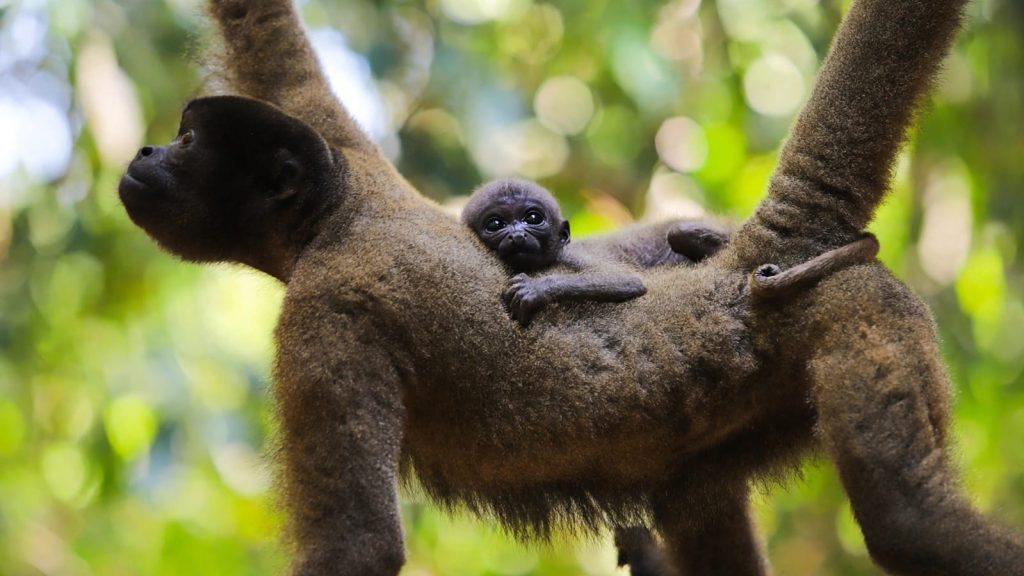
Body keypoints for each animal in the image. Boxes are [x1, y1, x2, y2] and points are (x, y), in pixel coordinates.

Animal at [119, 1, 1024, 576]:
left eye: (189, 142)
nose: (144, 154)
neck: (335, 217)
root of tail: (751, 266)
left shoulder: (327, 308)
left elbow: (359, 548)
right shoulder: (342, 147)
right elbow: (268, 34)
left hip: (854, 303)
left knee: (912, 522)